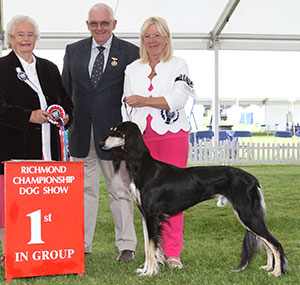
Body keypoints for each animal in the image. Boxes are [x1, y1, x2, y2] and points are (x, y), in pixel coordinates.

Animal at [100, 121, 288, 276]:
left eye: (118, 132)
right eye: (112, 129)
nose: (101, 144)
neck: (143, 166)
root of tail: (252, 178)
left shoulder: (153, 216)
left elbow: (152, 246)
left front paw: (150, 273)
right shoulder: (145, 216)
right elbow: (148, 246)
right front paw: (145, 269)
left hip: (247, 214)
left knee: (275, 243)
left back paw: (277, 272)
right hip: (248, 215)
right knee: (267, 242)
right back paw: (268, 267)